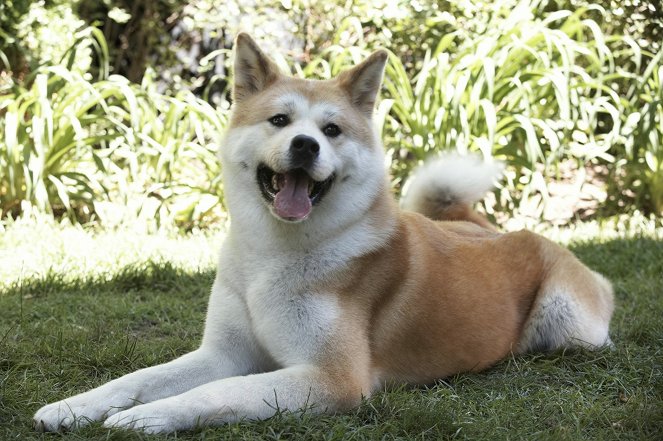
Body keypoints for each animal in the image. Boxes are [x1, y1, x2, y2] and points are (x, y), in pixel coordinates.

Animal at [33, 32, 616, 432]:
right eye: (279, 121)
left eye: (331, 130)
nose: (306, 145)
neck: (273, 257)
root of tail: (500, 231)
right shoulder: (222, 353)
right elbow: (137, 379)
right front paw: (74, 406)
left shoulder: (330, 379)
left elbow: (219, 393)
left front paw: (147, 417)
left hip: (572, 326)